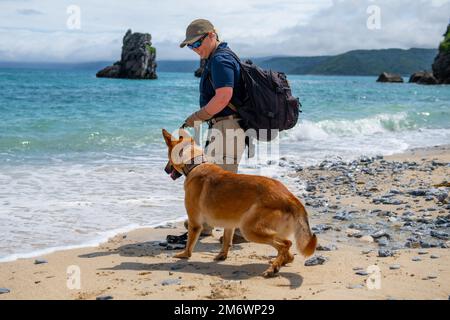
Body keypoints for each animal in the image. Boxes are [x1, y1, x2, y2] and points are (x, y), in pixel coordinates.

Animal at [163, 129, 316, 276]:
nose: (165, 170)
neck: (195, 164)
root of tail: (289, 197)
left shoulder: (194, 223)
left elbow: (189, 244)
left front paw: (184, 254)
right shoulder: (229, 224)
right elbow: (226, 240)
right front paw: (222, 255)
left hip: (249, 229)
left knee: (286, 244)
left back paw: (273, 268)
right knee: (288, 250)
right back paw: (280, 262)